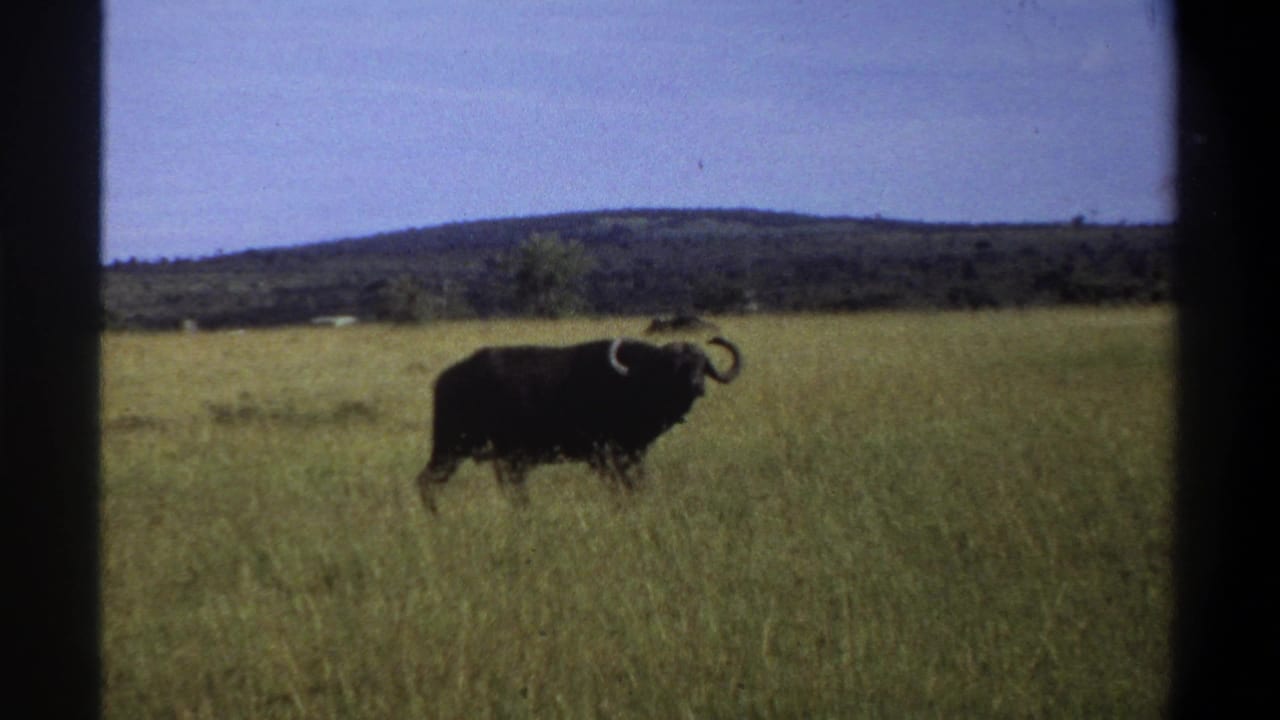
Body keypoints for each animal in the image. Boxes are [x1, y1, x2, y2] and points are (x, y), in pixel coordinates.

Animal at [415, 336, 742, 512]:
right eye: (674, 365)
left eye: (702, 365)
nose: (696, 385)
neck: (630, 382)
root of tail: (445, 379)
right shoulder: (604, 456)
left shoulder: (634, 454)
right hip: (451, 447)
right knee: (426, 481)